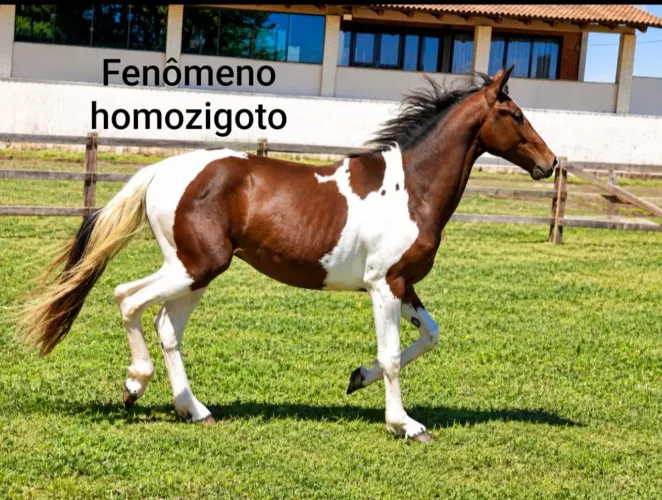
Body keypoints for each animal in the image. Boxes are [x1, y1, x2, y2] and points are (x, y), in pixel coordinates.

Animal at [17, 66, 557, 443]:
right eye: (514, 115)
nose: (549, 163)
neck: (411, 190)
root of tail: (163, 171)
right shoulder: (383, 285)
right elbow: (394, 357)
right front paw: (405, 424)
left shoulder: (405, 284)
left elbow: (429, 337)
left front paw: (357, 378)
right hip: (194, 267)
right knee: (127, 297)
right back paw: (134, 386)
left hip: (195, 273)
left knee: (166, 327)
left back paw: (195, 410)